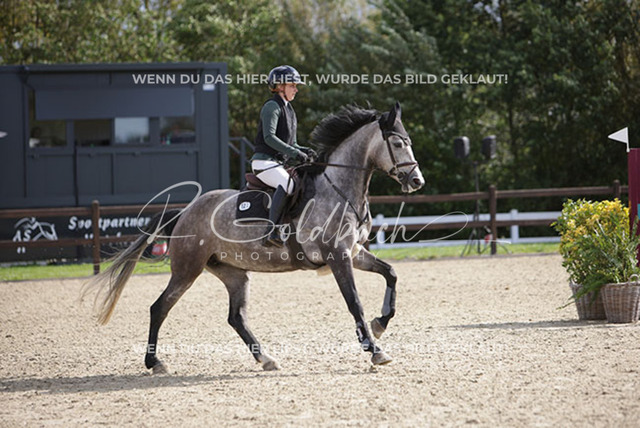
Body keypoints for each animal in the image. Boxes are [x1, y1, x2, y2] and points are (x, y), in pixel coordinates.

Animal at [88, 101, 425, 374]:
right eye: (397, 142)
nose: (417, 181)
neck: (339, 187)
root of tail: (185, 211)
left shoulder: (353, 252)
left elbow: (391, 273)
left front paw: (380, 325)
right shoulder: (337, 256)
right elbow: (354, 302)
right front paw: (375, 350)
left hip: (234, 273)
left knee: (236, 317)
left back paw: (266, 359)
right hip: (187, 269)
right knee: (160, 307)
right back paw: (155, 362)